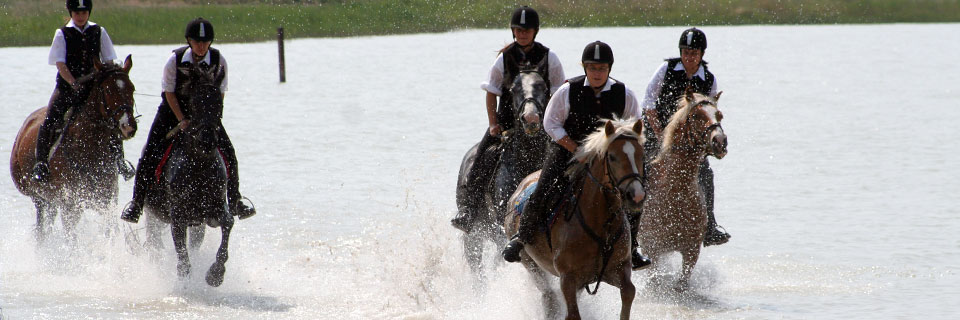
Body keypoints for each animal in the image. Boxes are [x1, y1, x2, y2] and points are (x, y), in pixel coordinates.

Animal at [10, 56, 138, 244]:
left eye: (132, 88)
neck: (88, 149)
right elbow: (72, 241)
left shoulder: (106, 200)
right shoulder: (70, 205)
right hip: (39, 199)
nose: (128, 126)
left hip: (51, 202)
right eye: (108, 90)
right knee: (41, 230)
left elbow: (109, 231)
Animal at [142, 62, 233, 288]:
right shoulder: (178, 215)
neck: (199, 165)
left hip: (197, 224)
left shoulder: (213, 210)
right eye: (193, 103)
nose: (207, 141)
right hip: (152, 215)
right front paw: (185, 278)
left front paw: (215, 274)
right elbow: (181, 251)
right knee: (155, 244)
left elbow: (228, 223)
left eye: (219, 103)